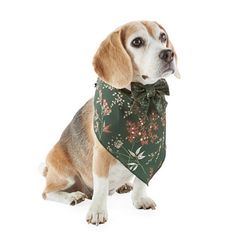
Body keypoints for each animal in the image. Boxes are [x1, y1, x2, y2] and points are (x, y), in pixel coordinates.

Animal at [41, 21, 180, 226]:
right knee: (47, 192)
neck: (139, 98)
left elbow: (141, 181)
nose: (168, 53)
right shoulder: (101, 155)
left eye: (163, 37)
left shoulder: (149, 156)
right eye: (137, 42)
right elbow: (100, 186)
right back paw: (72, 196)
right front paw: (97, 211)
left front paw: (140, 199)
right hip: (64, 174)